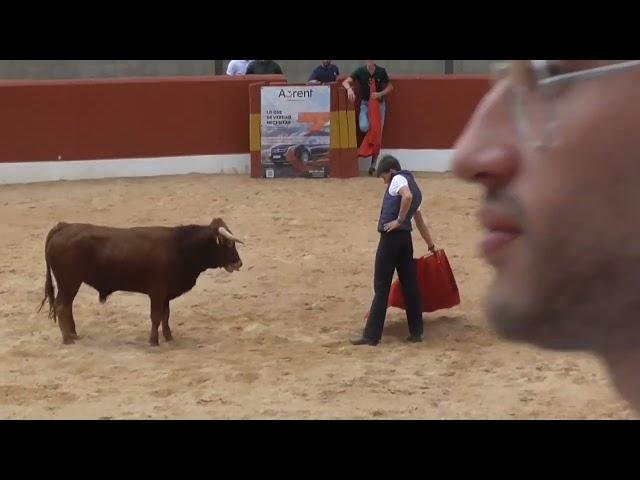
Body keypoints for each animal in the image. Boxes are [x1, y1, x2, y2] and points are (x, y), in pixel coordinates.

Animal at [38, 218, 242, 344]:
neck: (180, 246)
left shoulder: (166, 294)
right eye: (227, 243)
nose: (239, 263)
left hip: (70, 283)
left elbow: (166, 316)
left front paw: (169, 338)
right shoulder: (157, 292)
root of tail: (64, 226)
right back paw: (67, 339)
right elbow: (156, 317)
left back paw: (74, 334)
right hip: (69, 282)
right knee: (62, 306)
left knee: (67, 306)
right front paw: (153, 341)